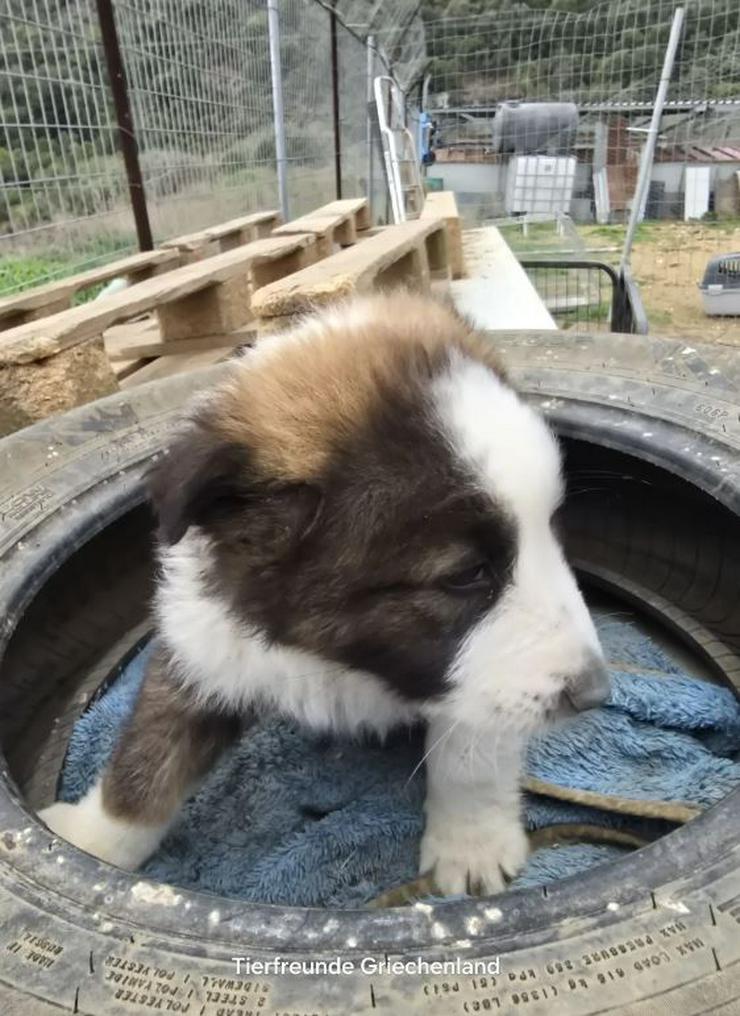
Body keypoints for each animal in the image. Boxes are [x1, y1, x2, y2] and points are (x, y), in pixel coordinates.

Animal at [37, 290, 609, 894]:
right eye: (466, 574)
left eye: (552, 530)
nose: (596, 694)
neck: (337, 656)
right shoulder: (202, 641)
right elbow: (147, 758)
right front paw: (93, 840)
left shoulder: (475, 684)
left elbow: (471, 754)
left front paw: (473, 843)